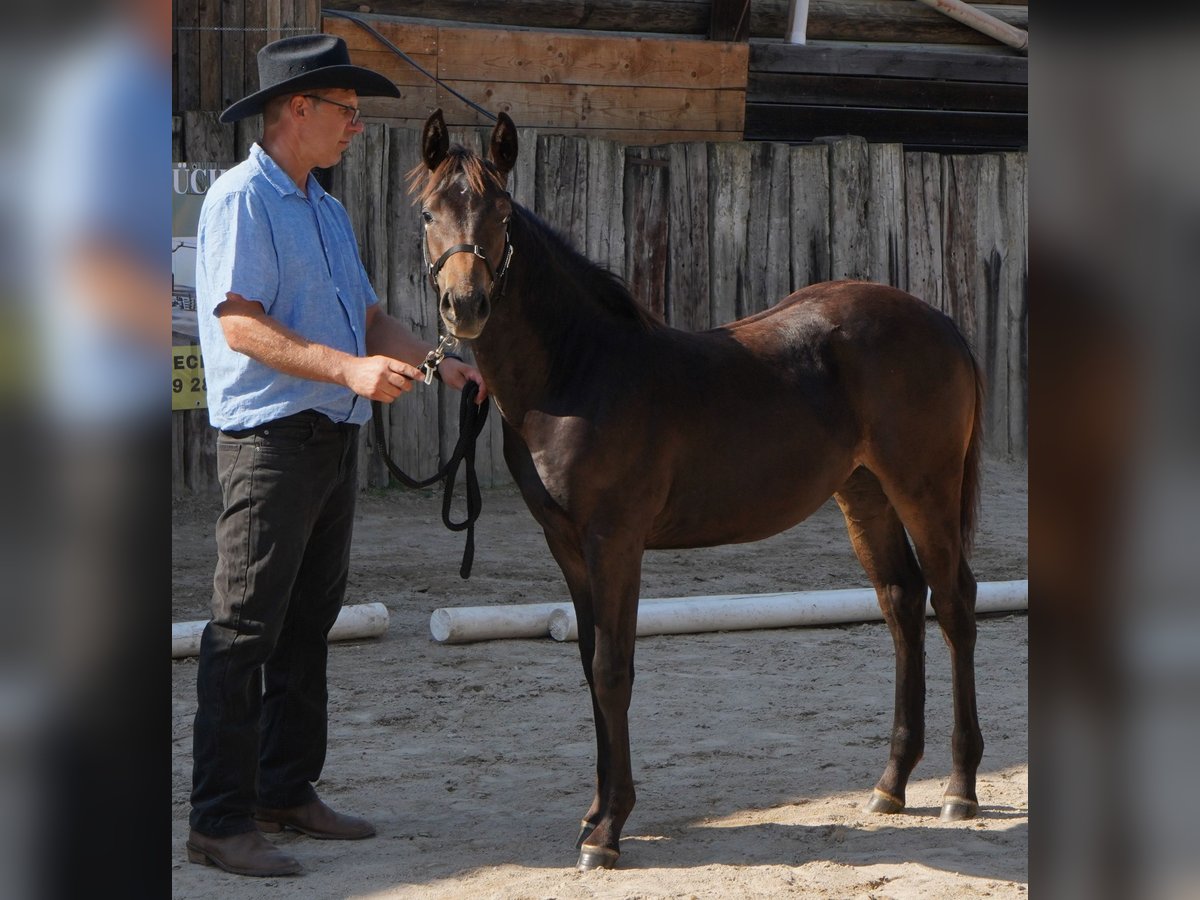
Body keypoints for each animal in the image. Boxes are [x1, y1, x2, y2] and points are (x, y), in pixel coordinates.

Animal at [412, 111, 984, 873]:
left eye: (501, 212)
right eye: (428, 213)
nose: (465, 304)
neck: (579, 371)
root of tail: (940, 322)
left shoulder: (616, 540)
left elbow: (613, 667)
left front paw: (608, 832)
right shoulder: (567, 546)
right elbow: (590, 667)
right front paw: (594, 815)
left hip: (924, 487)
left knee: (953, 604)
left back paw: (959, 787)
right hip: (866, 495)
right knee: (901, 603)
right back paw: (890, 785)